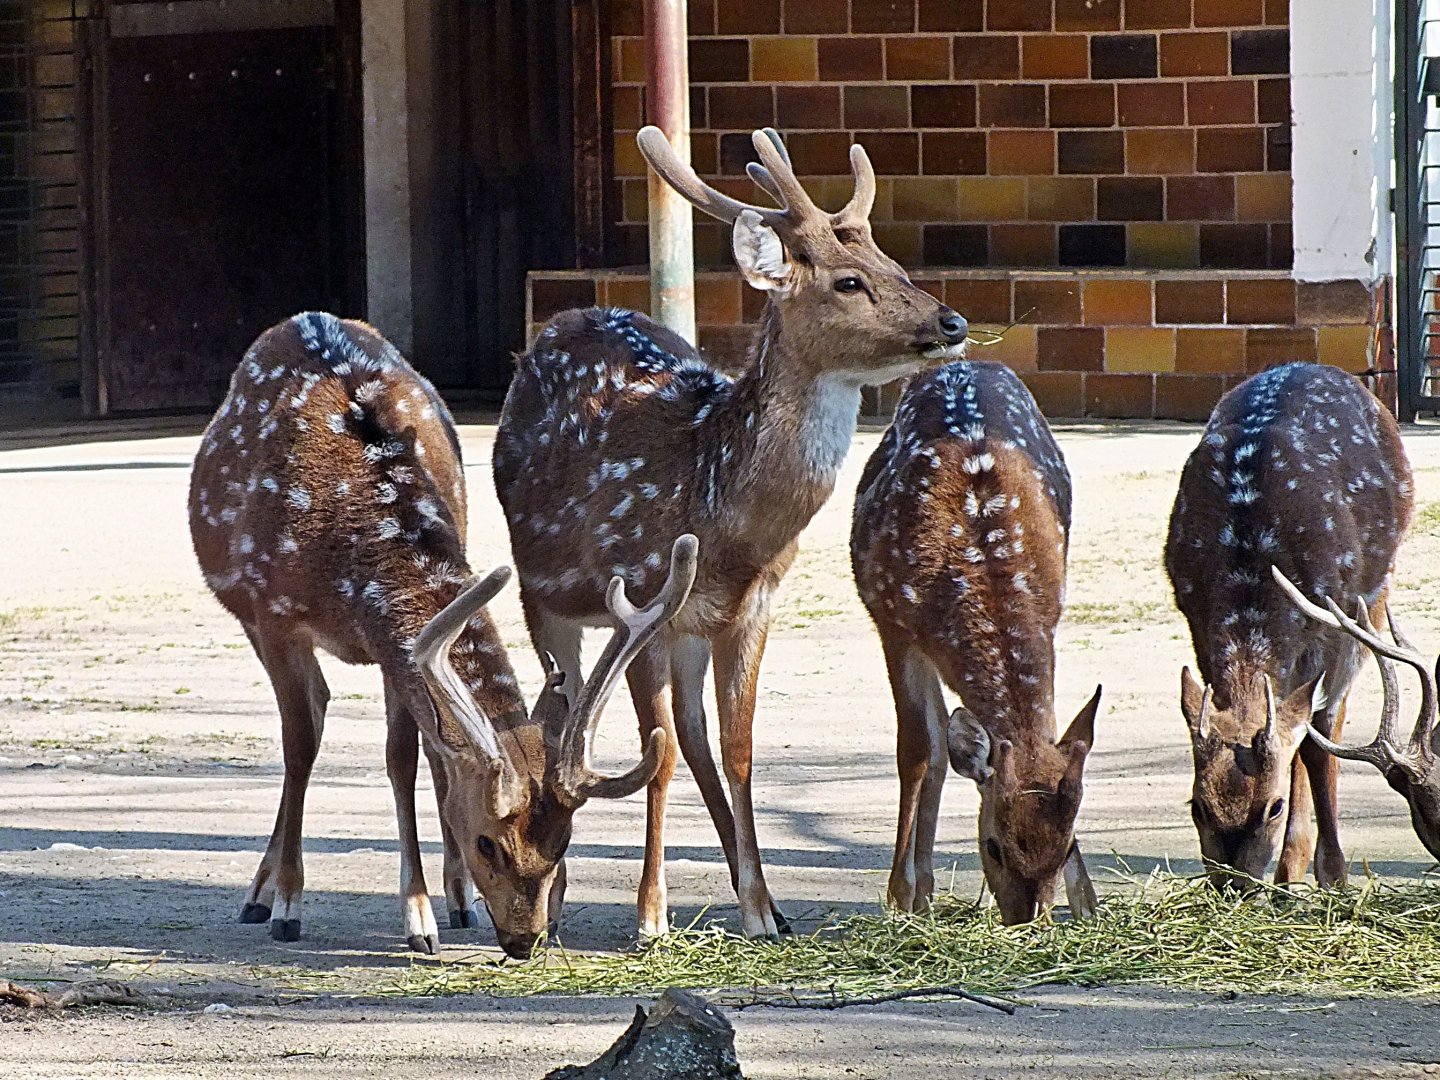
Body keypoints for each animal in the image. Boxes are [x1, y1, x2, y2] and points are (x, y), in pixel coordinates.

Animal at [189, 311, 699, 958]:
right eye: (488, 842)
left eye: (562, 843)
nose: (527, 940)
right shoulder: (275, 616)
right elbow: (301, 744)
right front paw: (294, 904)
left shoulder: (394, 647)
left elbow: (407, 757)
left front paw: (429, 909)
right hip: (246, 613)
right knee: (311, 719)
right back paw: (260, 894)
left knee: (380, 726)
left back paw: (456, 898)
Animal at [492, 126, 969, 939]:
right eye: (848, 281)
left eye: (897, 267)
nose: (951, 322)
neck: (722, 515)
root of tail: (560, 321)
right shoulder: (641, 591)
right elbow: (656, 758)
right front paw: (651, 917)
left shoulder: (752, 606)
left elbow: (737, 748)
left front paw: (758, 908)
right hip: (544, 593)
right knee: (564, 714)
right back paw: (553, 901)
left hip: (687, 628)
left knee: (690, 734)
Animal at [851, 361, 1101, 924]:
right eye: (993, 846)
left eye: (1067, 847)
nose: (1027, 919)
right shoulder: (895, 624)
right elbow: (916, 751)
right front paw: (900, 894)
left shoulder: (1052, 617)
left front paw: (1088, 902)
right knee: (934, 746)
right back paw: (919, 891)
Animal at [1164, 361, 1412, 890]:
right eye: (1197, 807)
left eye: (1272, 807)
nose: (1234, 885)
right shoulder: (1194, 616)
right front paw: (1293, 869)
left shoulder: (1333, 617)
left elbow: (1318, 740)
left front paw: (1334, 873)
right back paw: (1288, 869)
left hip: (1375, 594)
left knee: (1329, 722)